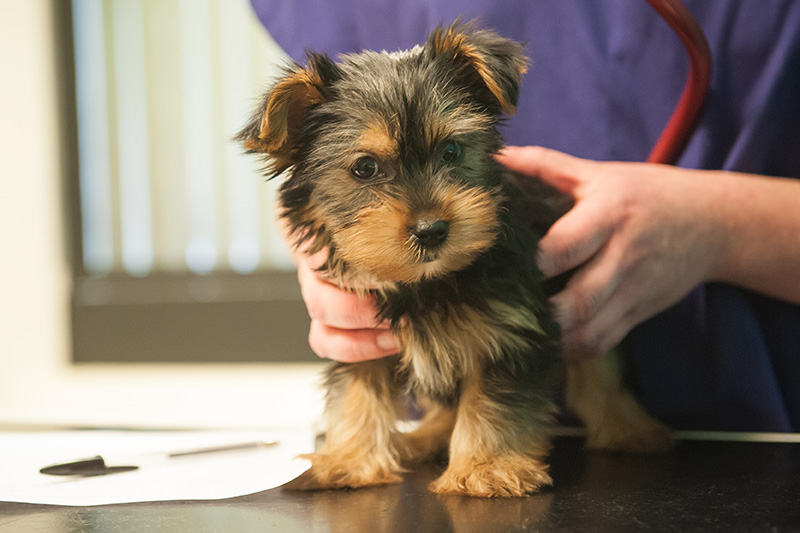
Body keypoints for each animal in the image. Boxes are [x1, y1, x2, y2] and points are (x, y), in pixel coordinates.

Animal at [239, 19, 668, 494]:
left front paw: (487, 465)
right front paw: (348, 459)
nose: (431, 230)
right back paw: (426, 437)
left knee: (600, 371)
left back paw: (629, 431)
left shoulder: (508, 329)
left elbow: (491, 398)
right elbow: (357, 388)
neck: (425, 282)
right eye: (365, 168)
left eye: (452, 151)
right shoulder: (358, 331)